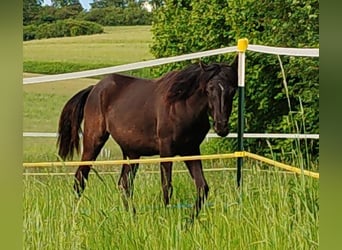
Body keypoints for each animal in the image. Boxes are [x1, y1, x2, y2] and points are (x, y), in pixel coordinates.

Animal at [57, 55, 238, 216]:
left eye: (232, 90)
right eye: (209, 89)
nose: (221, 126)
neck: (182, 105)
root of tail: (94, 88)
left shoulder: (191, 150)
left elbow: (202, 188)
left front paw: (189, 223)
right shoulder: (166, 150)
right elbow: (167, 187)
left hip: (131, 152)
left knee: (124, 185)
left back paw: (132, 218)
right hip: (93, 141)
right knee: (80, 179)